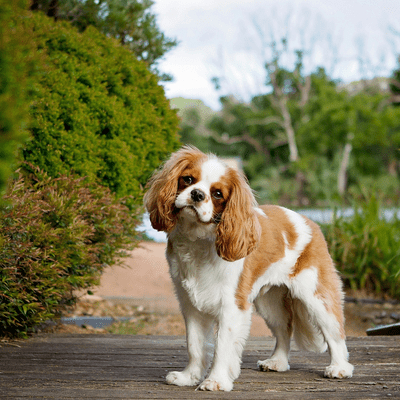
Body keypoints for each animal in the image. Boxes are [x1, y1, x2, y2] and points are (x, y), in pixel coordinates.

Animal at [144, 145, 354, 390]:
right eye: (187, 179)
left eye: (217, 194)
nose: (197, 194)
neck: (198, 239)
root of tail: (309, 220)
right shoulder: (191, 305)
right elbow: (194, 345)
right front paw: (189, 377)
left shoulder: (232, 306)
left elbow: (222, 347)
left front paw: (216, 381)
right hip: (270, 302)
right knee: (285, 329)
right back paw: (277, 362)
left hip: (315, 294)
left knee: (335, 331)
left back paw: (339, 368)